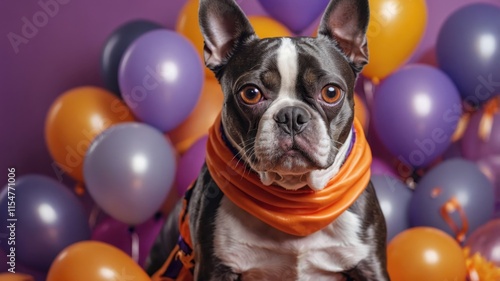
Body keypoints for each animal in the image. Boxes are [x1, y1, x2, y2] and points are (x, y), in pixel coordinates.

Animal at [146, 0, 388, 278]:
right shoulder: (215, 268)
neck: (294, 203)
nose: (292, 115)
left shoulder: (370, 266)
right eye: (250, 93)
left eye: (331, 92)